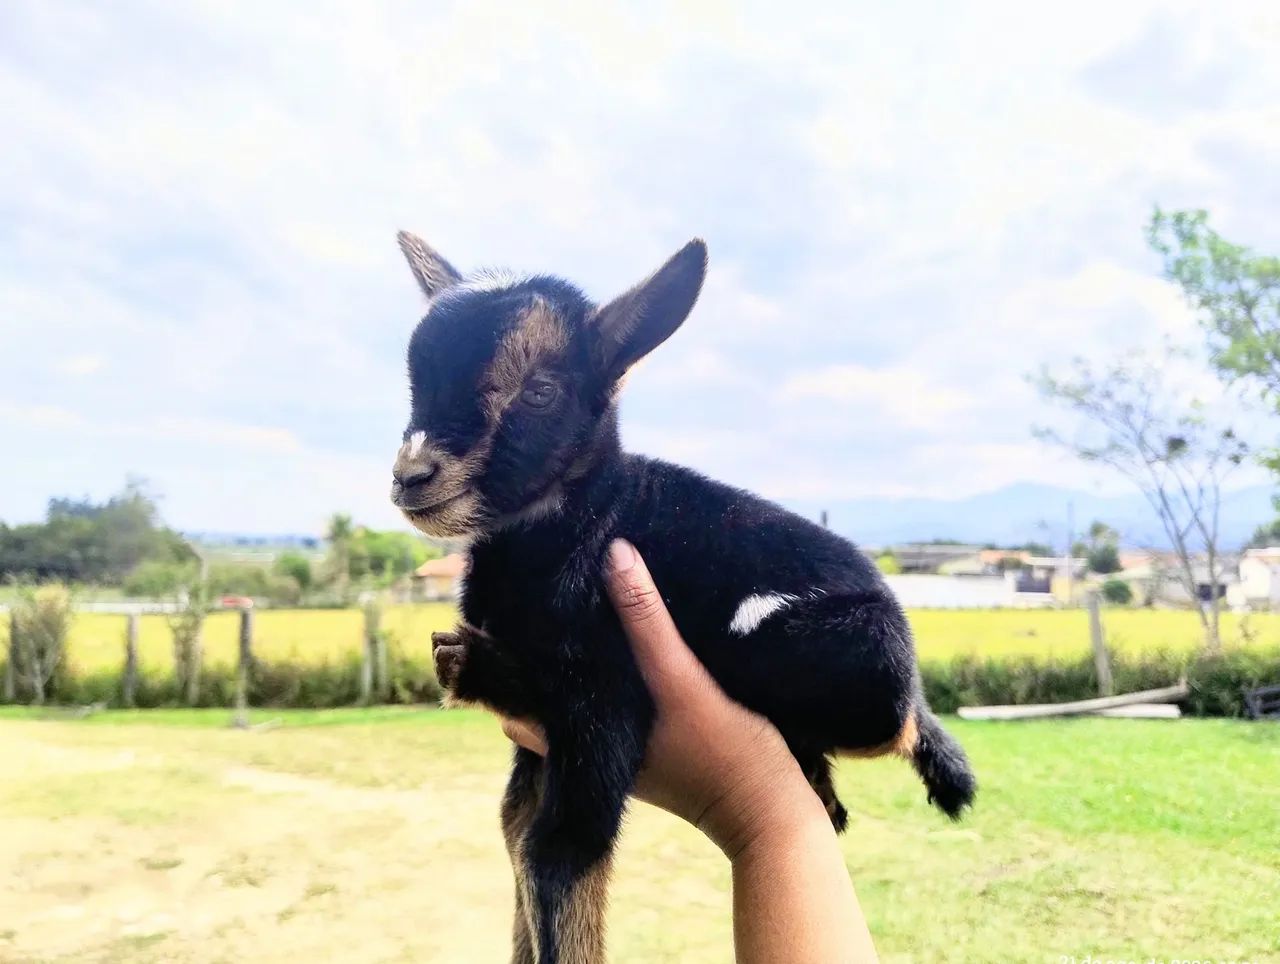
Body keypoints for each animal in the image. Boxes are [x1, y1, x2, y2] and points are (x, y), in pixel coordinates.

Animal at [390, 232, 976, 964]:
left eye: (541, 390)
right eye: (412, 381)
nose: (412, 476)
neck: (594, 517)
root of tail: (916, 695)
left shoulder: (606, 696)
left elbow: (559, 853)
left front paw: (473, 662)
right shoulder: (539, 750)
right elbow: (514, 830)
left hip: (826, 652)